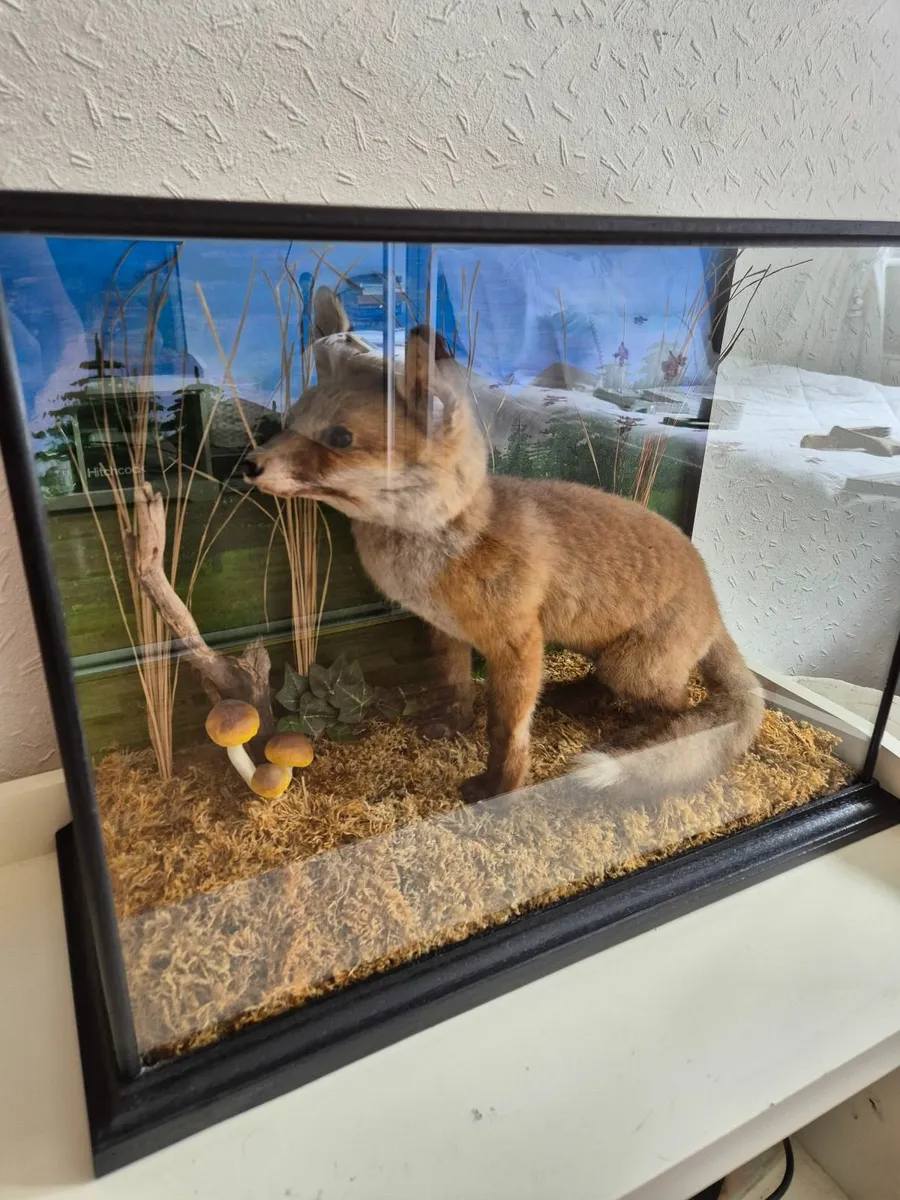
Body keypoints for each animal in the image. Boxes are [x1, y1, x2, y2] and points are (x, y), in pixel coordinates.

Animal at [242, 287, 763, 806]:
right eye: (291, 421)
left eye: (340, 436)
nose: (249, 463)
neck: (441, 553)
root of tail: (713, 597)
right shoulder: (446, 631)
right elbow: (455, 687)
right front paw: (453, 726)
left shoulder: (519, 644)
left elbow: (506, 731)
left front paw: (500, 790)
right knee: (609, 689)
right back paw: (576, 697)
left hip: (636, 669)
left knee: (676, 711)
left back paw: (639, 742)